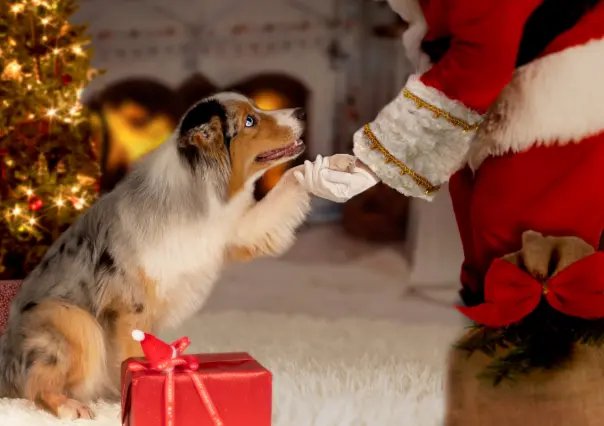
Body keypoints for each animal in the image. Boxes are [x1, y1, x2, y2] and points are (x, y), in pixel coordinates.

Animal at [0, 92, 312, 420]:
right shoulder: (131, 307)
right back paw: (71, 406)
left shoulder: (232, 229)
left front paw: (313, 171)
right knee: (36, 385)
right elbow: (132, 353)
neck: (196, 187)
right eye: (250, 120)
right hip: (72, 319)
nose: (302, 112)